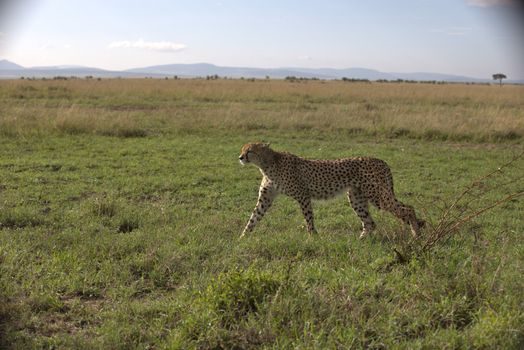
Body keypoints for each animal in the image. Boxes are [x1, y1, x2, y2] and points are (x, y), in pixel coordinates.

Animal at [239, 142, 424, 238]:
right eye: (242, 150)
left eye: (250, 151)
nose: (240, 157)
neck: (267, 163)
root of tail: (381, 160)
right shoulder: (266, 197)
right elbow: (254, 217)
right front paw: (243, 237)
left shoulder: (303, 195)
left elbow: (308, 218)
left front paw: (312, 237)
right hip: (356, 197)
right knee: (370, 223)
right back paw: (360, 241)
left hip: (377, 195)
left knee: (408, 208)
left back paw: (416, 234)